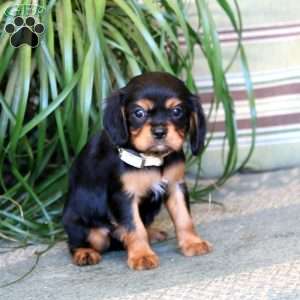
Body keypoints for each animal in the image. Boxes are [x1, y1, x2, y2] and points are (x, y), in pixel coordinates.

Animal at [62, 72, 212, 270]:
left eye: (177, 111)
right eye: (138, 113)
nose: (159, 131)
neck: (152, 159)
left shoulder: (176, 186)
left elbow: (184, 218)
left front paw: (192, 243)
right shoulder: (124, 197)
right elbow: (134, 227)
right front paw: (142, 255)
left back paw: (152, 233)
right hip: (87, 229)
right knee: (76, 242)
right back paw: (84, 253)